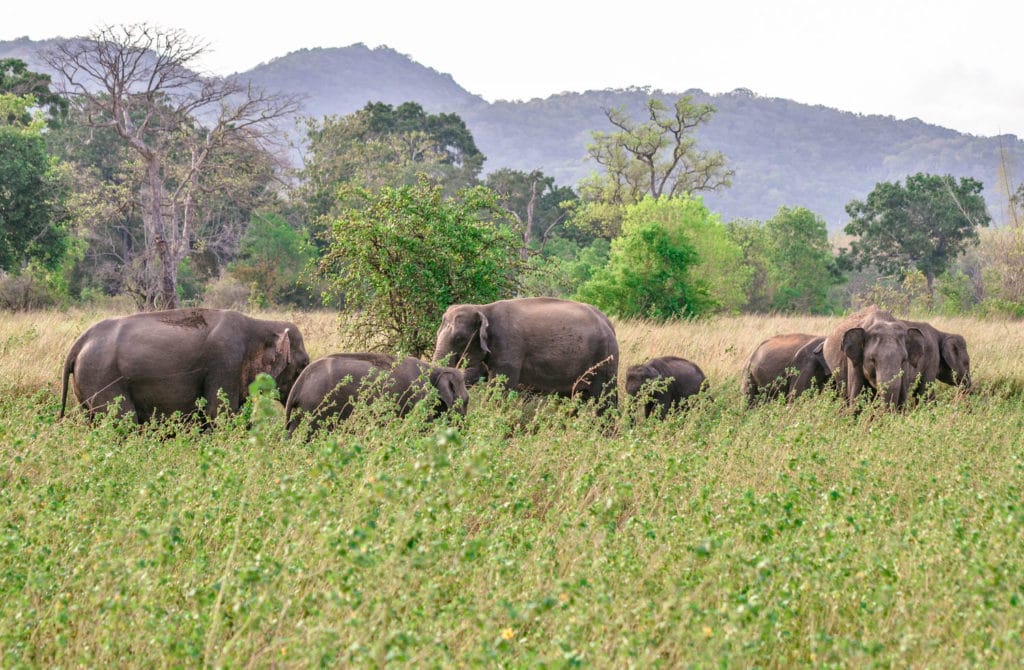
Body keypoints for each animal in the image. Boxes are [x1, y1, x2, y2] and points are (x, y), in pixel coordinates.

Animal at [58, 307, 307, 422]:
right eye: (303, 364)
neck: (259, 323)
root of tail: (79, 343)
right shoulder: (225, 363)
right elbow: (220, 413)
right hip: (102, 377)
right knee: (123, 422)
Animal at [430, 299, 614, 409]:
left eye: (459, 338)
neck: (483, 308)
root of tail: (607, 322)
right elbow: (474, 373)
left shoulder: (509, 349)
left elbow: (500, 388)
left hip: (604, 360)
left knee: (604, 400)